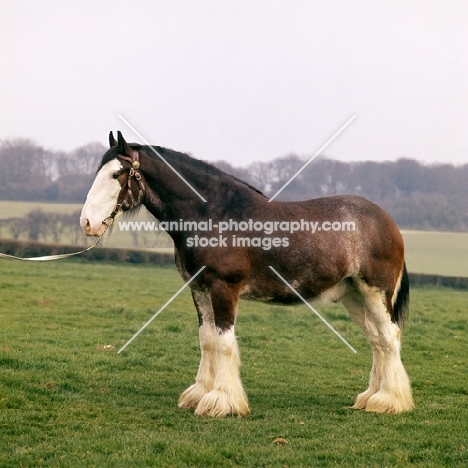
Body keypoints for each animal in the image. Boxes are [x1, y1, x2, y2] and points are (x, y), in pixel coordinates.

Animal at [79, 132, 414, 416]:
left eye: (116, 174)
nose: (86, 222)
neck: (213, 214)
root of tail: (386, 220)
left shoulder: (224, 289)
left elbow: (224, 343)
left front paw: (221, 401)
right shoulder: (199, 291)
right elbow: (207, 340)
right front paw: (199, 394)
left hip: (375, 292)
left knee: (388, 337)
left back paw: (389, 400)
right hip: (354, 296)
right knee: (376, 341)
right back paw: (371, 397)